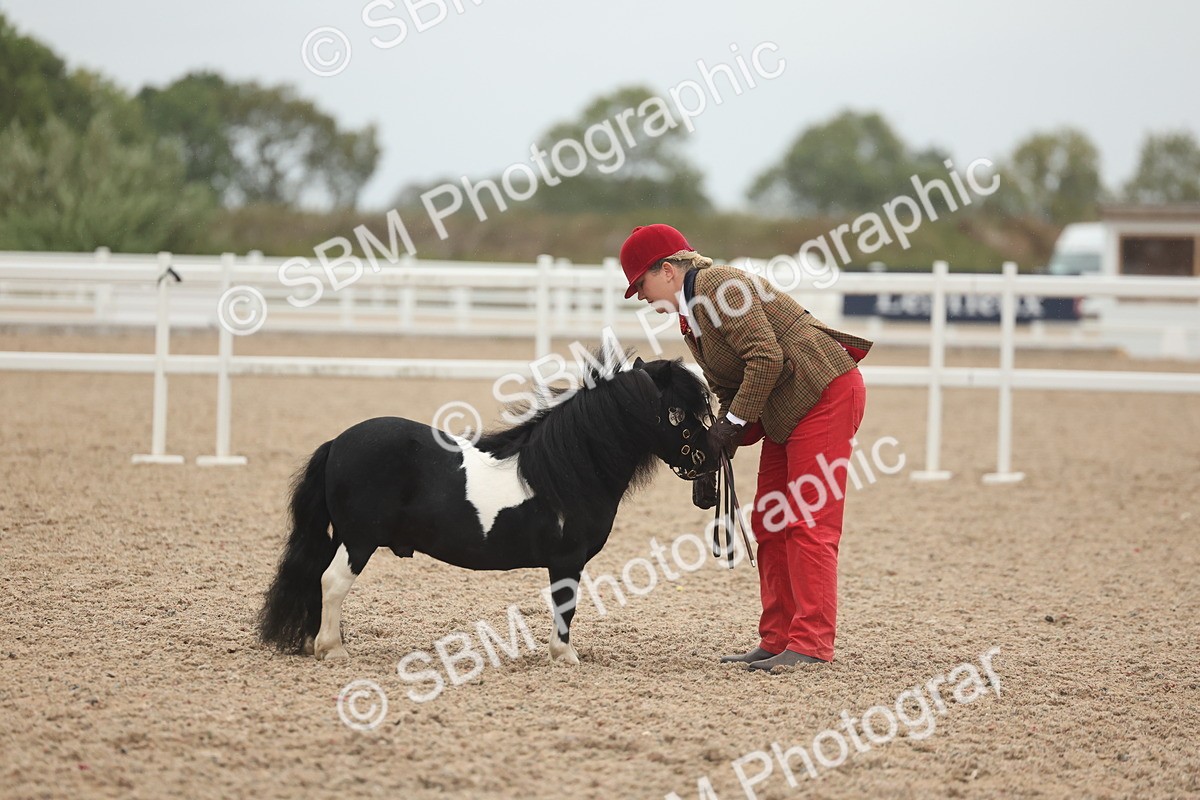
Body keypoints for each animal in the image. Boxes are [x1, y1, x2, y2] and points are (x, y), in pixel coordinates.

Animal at [256, 355, 721, 664]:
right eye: (682, 411)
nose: (712, 459)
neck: (570, 467)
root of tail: (338, 443)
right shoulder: (567, 559)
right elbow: (565, 604)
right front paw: (564, 657)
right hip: (358, 540)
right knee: (332, 581)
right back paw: (332, 649)